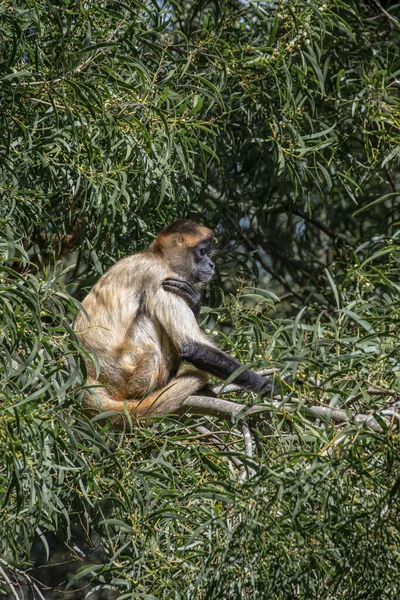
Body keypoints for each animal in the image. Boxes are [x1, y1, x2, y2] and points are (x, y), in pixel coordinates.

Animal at [73, 218, 274, 420]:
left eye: (209, 253)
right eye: (202, 252)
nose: (211, 264)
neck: (157, 256)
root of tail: (89, 375)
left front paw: (195, 300)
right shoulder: (160, 275)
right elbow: (190, 345)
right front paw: (269, 387)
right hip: (128, 372)